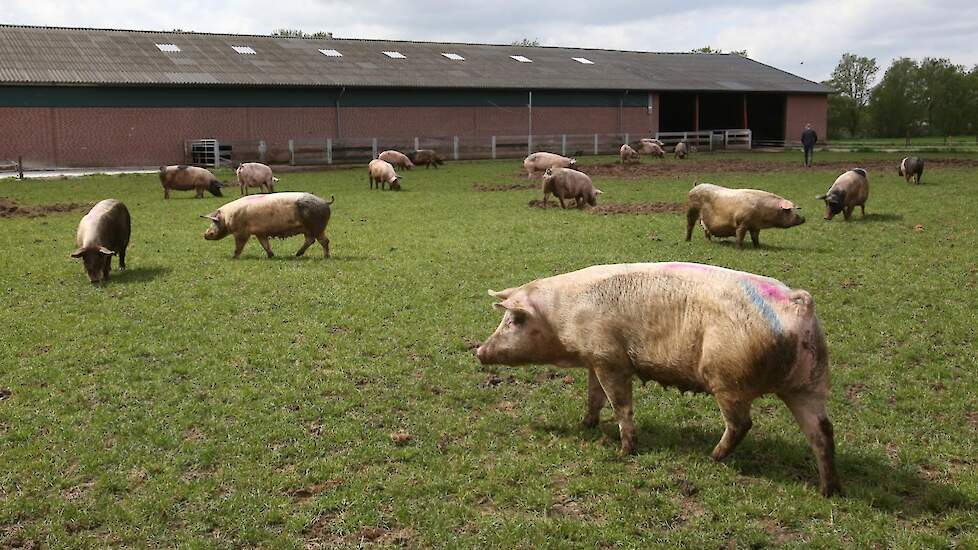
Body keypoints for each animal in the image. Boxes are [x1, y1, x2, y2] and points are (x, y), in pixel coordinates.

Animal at [200, 193, 334, 260]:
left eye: (215, 222)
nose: (205, 234)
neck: (227, 217)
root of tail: (325, 201)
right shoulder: (260, 232)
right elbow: (265, 244)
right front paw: (271, 256)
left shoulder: (241, 232)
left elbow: (239, 245)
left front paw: (233, 257)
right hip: (310, 229)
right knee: (311, 240)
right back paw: (297, 254)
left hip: (317, 226)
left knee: (324, 241)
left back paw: (326, 257)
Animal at [472, 260, 840, 498]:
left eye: (513, 320)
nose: (478, 352)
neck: (561, 318)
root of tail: (797, 304)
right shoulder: (594, 359)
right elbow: (593, 396)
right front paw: (585, 425)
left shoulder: (610, 358)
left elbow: (620, 404)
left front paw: (624, 452)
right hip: (809, 383)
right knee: (823, 431)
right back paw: (828, 491)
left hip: (728, 378)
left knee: (742, 423)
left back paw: (711, 457)